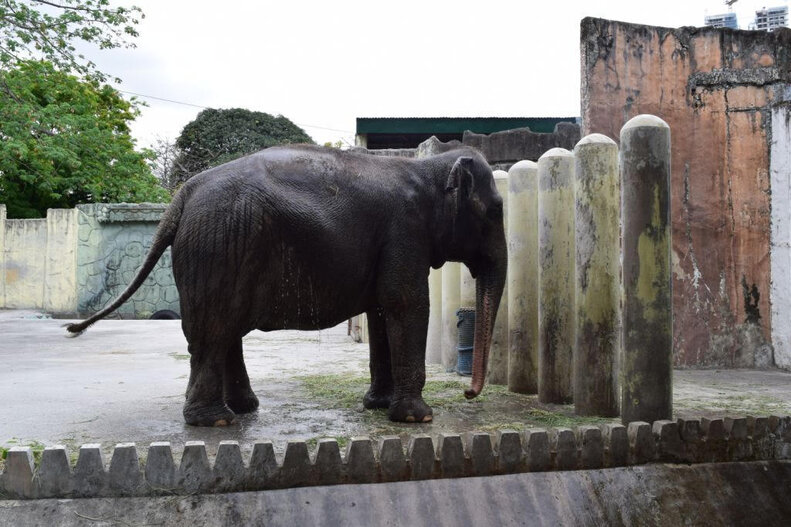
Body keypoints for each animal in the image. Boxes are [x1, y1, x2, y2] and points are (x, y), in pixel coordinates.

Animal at [67, 145, 508, 426]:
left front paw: (378, 406)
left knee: (224, 328)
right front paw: (419, 418)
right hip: (220, 242)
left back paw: (243, 409)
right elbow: (405, 303)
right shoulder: (404, 231)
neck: (428, 167)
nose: (469, 394)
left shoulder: (393, 241)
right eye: (496, 211)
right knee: (215, 328)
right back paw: (216, 422)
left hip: (220, 247)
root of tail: (183, 194)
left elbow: (382, 311)